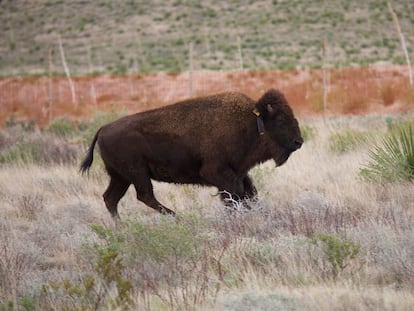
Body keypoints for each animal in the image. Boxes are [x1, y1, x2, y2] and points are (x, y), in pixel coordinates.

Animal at [81, 89, 302, 218]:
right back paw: (177, 217)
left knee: (111, 198)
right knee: (144, 195)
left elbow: (248, 193)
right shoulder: (217, 172)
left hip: (121, 177)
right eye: (280, 119)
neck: (251, 122)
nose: (298, 141)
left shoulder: (239, 172)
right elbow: (235, 195)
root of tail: (103, 128)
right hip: (136, 173)